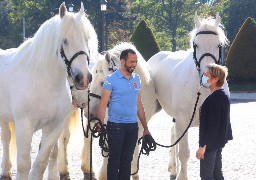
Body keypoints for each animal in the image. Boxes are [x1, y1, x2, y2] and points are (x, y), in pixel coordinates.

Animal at [0, 2, 95, 179]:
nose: (83, 78)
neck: (43, 81)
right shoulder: (25, 126)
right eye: (65, 41)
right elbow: (24, 164)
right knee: (6, 139)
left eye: (86, 39)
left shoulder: (54, 127)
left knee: (6, 137)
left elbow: (41, 163)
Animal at [147, 12, 229, 179]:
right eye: (195, 44)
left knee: (173, 132)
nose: (208, 77)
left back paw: (173, 169)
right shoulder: (183, 120)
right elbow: (184, 153)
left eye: (219, 45)